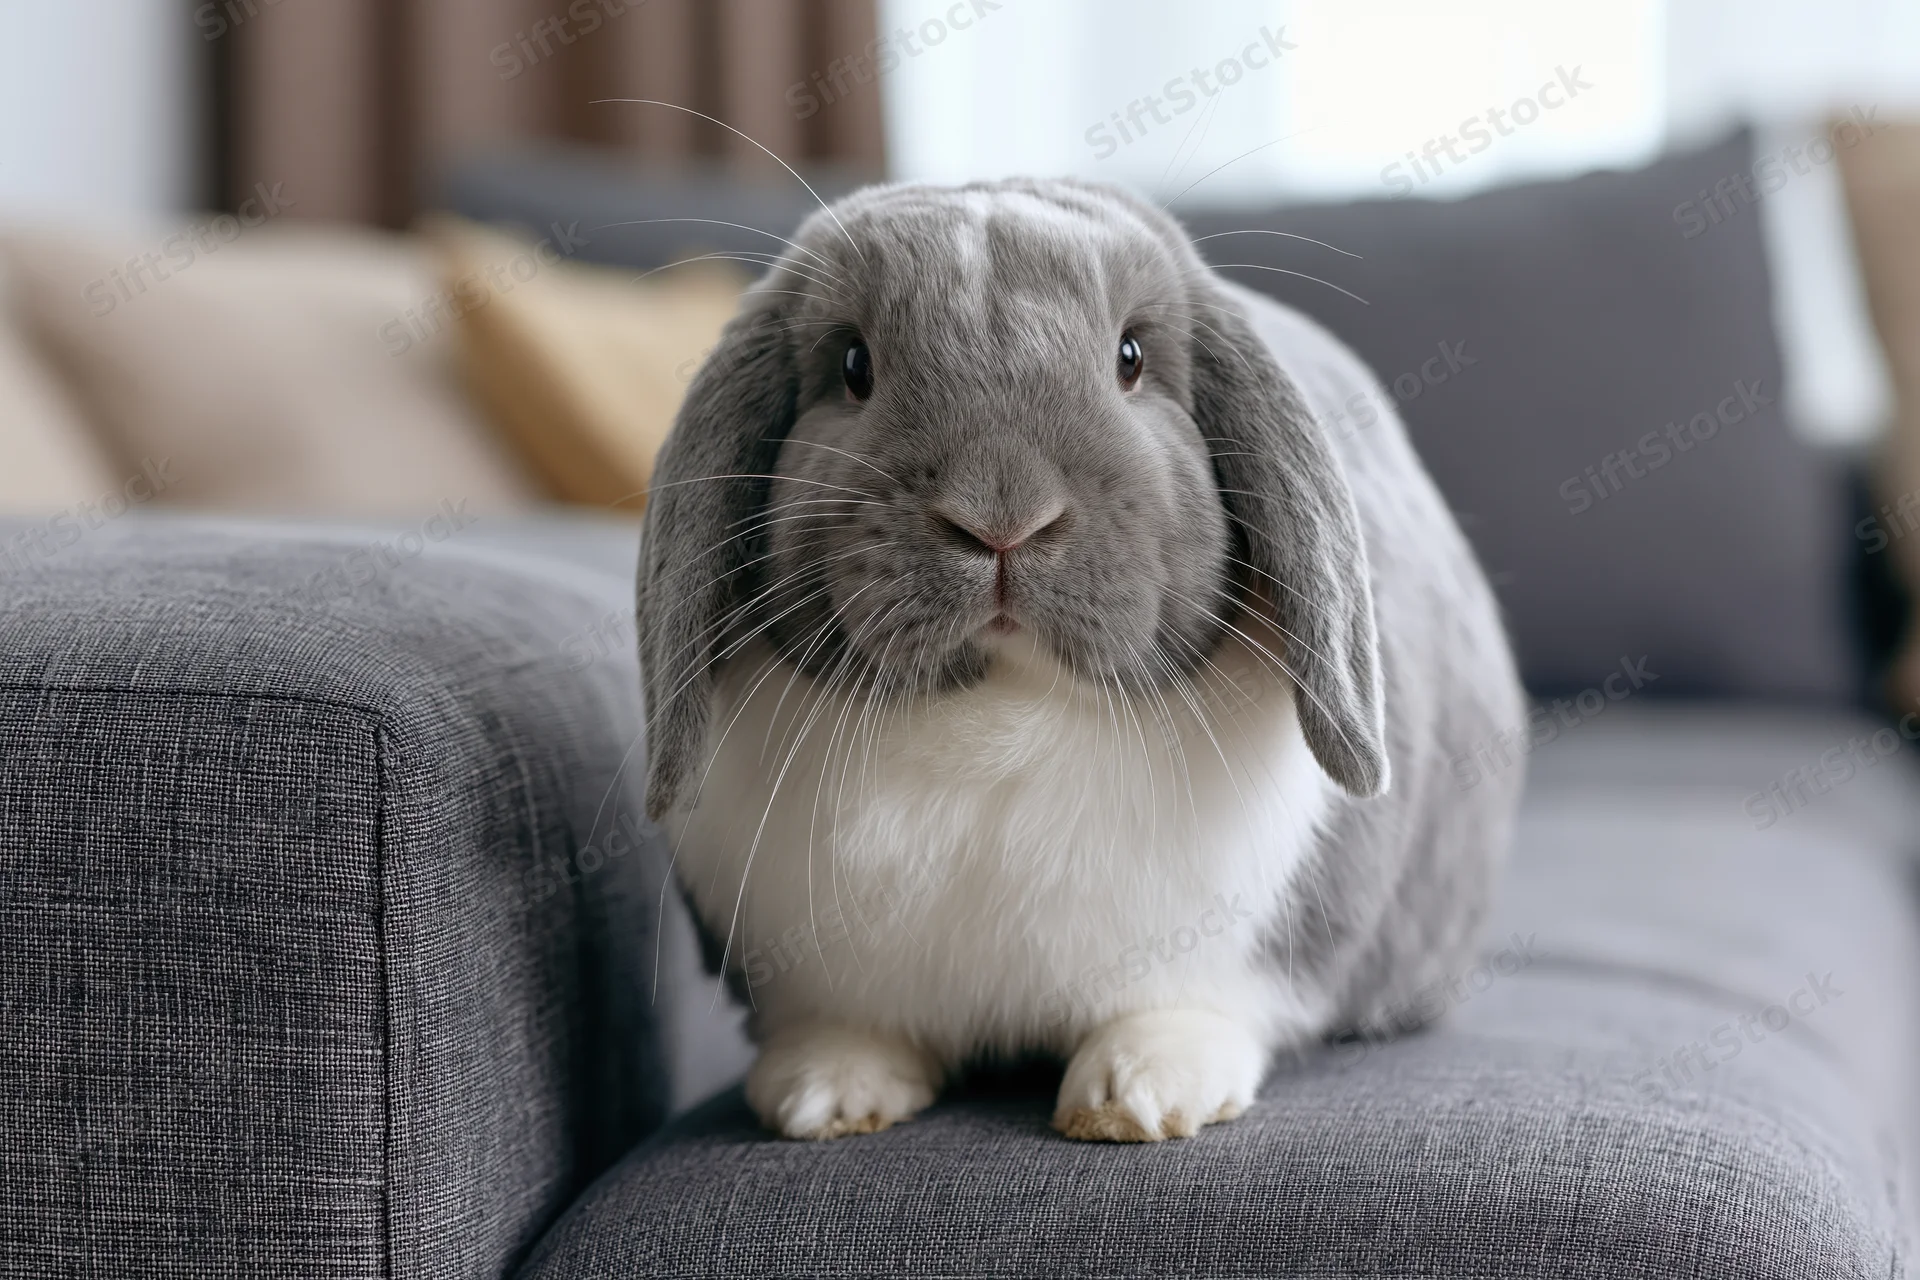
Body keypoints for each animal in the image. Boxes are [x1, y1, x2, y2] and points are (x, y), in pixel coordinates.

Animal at [636, 177, 1525, 1143]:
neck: (1001, 718)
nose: (1002, 515)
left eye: (1130, 357)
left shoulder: (1238, 958)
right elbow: (845, 1027)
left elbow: (1190, 1009)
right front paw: (824, 1095)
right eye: (852, 366)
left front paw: (1138, 1096)